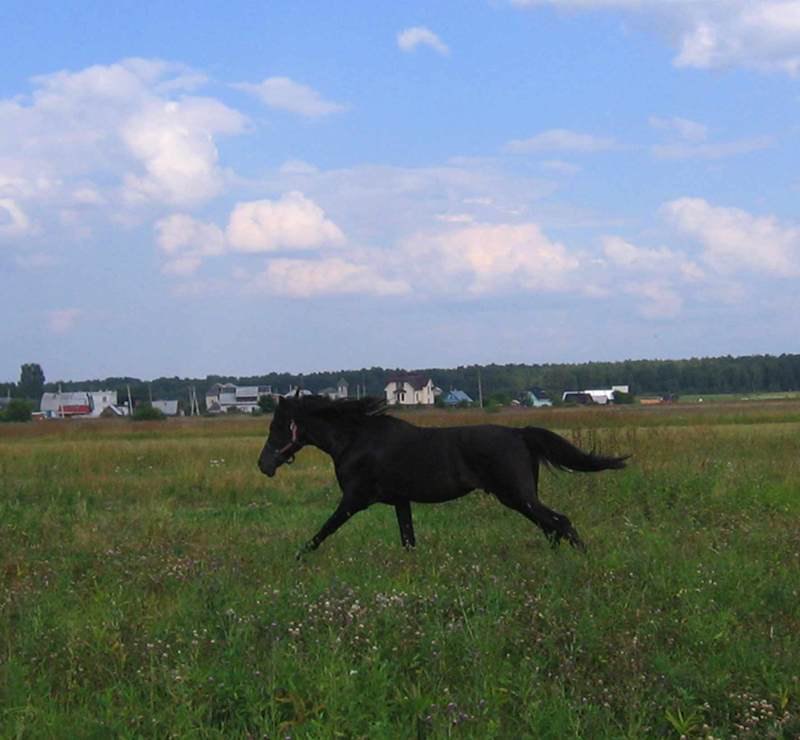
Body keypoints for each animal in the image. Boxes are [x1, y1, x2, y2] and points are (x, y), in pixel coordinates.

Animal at [260, 396, 628, 556]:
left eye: (277, 426)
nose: (264, 465)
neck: (355, 439)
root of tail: (519, 433)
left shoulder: (354, 500)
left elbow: (321, 533)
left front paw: (297, 558)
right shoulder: (400, 501)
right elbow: (408, 540)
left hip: (517, 495)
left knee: (560, 522)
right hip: (520, 498)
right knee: (551, 526)